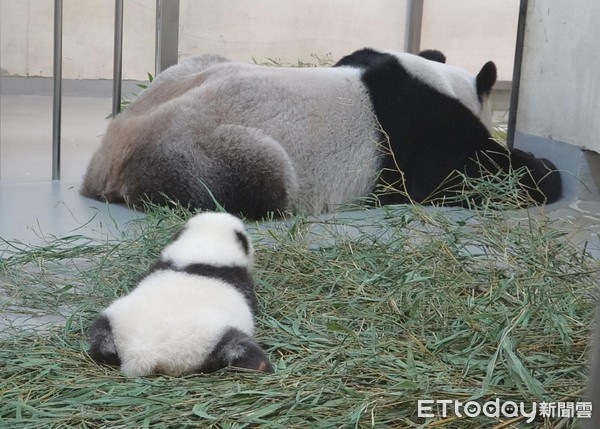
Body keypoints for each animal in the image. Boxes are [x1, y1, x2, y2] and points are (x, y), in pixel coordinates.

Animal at [82, 48, 560, 219]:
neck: (443, 82)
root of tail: (104, 163)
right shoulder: (421, 129)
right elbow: (463, 176)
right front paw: (541, 170)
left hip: (187, 69)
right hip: (200, 152)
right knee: (258, 179)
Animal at [88, 212, 274, 376]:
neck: (202, 250)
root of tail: (142, 353)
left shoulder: (157, 266)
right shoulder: (240, 280)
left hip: (114, 320)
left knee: (100, 336)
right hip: (209, 340)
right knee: (239, 346)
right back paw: (262, 365)